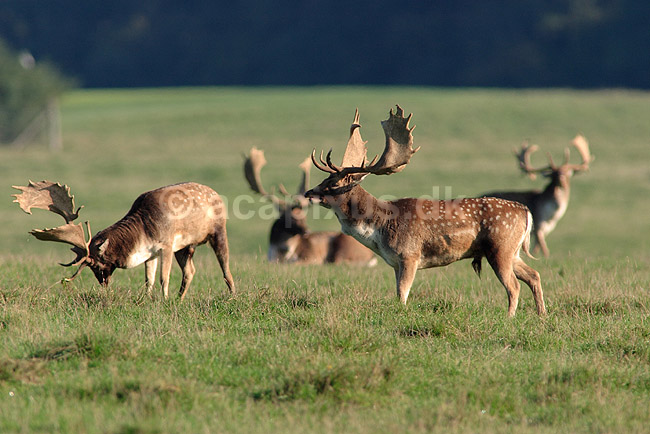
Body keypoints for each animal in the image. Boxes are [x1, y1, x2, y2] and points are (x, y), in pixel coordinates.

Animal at [12, 181, 235, 299]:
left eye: (96, 264)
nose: (103, 283)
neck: (144, 230)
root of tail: (216, 194)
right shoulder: (152, 253)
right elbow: (149, 279)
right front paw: (148, 299)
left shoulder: (167, 244)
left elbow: (163, 278)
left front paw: (164, 300)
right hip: (186, 248)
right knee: (190, 271)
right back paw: (180, 299)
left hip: (218, 232)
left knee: (225, 268)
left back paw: (232, 295)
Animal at [243, 147, 376, 265]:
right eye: (289, 217)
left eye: (303, 217)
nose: (307, 231)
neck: (282, 254)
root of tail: (372, 255)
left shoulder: (311, 256)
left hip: (343, 246)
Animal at [304, 105, 546, 317]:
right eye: (324, 178)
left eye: (334, 182)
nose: (309, 192)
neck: (379, 227)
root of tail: (526, 211)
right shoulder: (395, 263)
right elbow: (397, 293)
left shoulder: (409, 254)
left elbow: (403, 294)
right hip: (513, 251)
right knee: (534, 275)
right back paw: (541, 314)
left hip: (500, 247)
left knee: (514, 286)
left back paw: (509, 317)